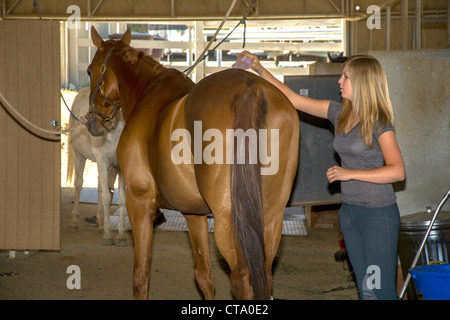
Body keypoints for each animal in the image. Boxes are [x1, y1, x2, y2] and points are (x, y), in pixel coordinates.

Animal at [64, 87, 126, 245]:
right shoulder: (103, 161)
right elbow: (106, 197)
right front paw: (108, 235)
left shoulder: (118, 166)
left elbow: (121, 199)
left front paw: (121, 236)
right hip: (80, 156)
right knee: (79, 185)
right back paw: (73, 222)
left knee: (100, 188)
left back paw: (100, 223)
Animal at [86, 26, 300, 300]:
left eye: (90, 70)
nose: (92, 121)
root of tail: (249, 87)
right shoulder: (193, 212)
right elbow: (204, 276)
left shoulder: (139, 202)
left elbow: (140, 275)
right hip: (270, 219)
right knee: (264, 276)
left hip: (229, 222)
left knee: (242, 278)